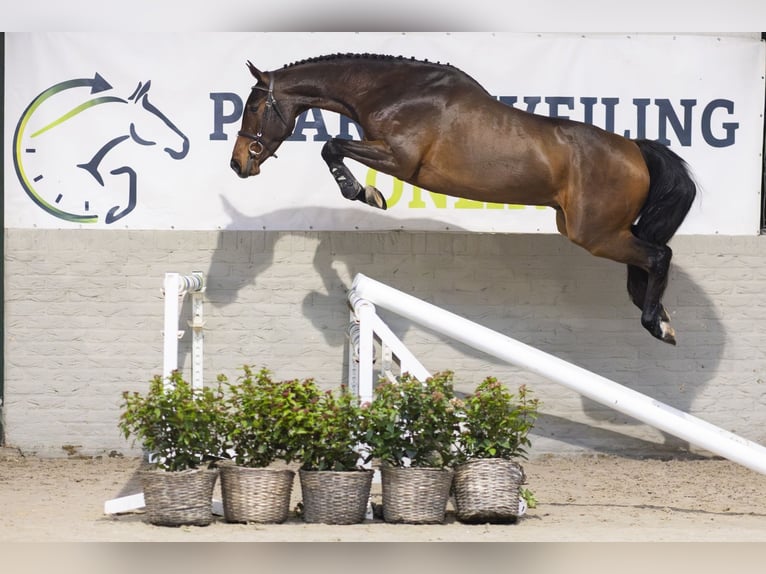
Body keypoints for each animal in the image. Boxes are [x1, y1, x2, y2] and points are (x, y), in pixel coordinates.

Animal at [229, 53, 697, 345]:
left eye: (253, 107)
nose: (238, 164)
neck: (394, 91)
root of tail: (634, 149)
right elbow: (332, 150)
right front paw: (365, 193)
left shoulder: (398, 159)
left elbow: (331, 146)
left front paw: (366, 193)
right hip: (588, 228)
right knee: (648, 257)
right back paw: (662, 317)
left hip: (595, 234)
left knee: (659, 255)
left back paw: (658, 325)